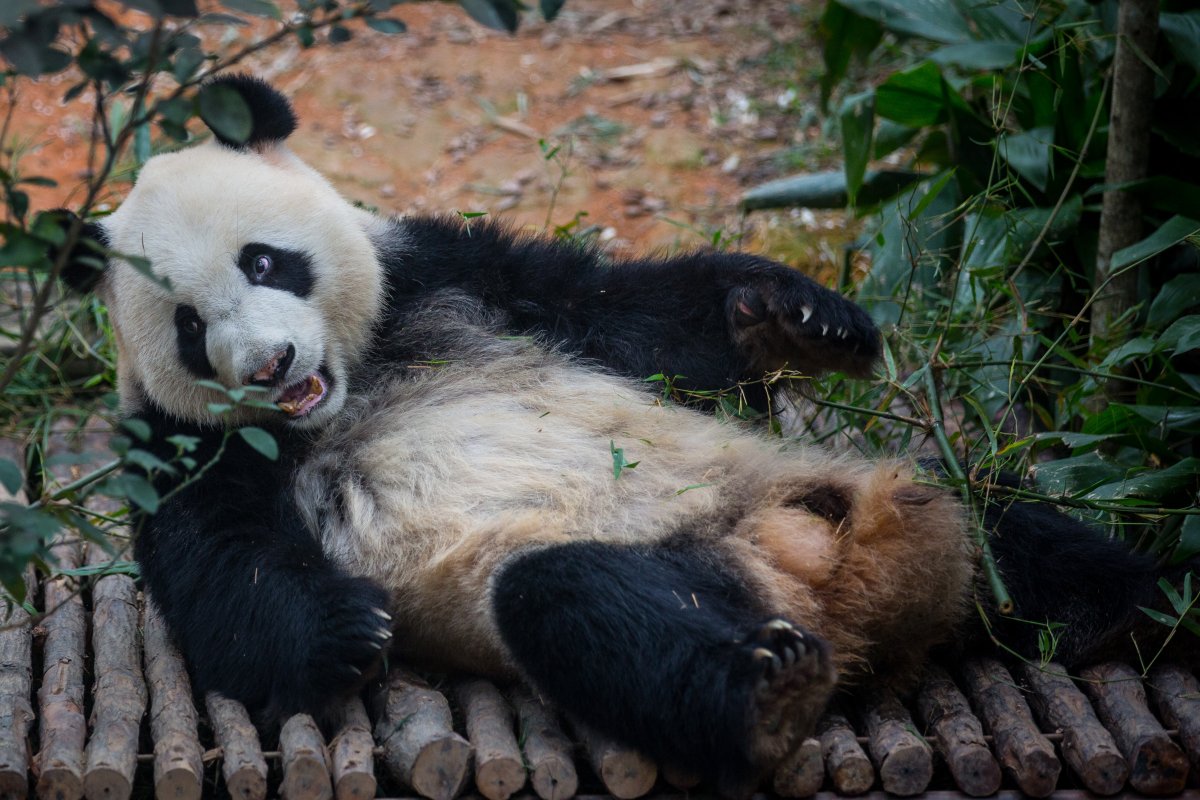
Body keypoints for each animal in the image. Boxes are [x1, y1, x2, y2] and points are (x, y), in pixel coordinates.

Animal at [63, 74, 1171, 796]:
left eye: (266, 260)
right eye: (190, 327)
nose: (270, 368)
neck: (353, 382)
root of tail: (856, 577)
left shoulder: (453, 279)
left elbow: (640, 316)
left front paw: (797, 318)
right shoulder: (182, 445)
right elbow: (223, 572)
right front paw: (349, 632)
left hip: (848, 483)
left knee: (1008, 525)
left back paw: (1130, 604)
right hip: (688, 561)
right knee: (584, 608)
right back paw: (768, 690)